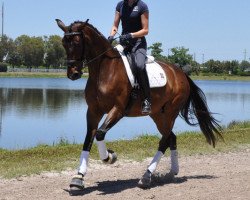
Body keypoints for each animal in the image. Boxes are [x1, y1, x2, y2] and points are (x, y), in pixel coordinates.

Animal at [55, 19, 222, 191]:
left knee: (165, 140)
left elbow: (100, 133)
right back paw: (172, 172)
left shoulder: (118, 110)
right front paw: (78, 178)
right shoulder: (93, 111)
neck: (104, 70)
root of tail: (181, 73)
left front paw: (110, 157)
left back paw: (147, 176)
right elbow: (89, 137)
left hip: (170, 113)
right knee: (171, 138)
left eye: (76, 42)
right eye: (63, 43)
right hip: (158, 115)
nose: (73, 74)